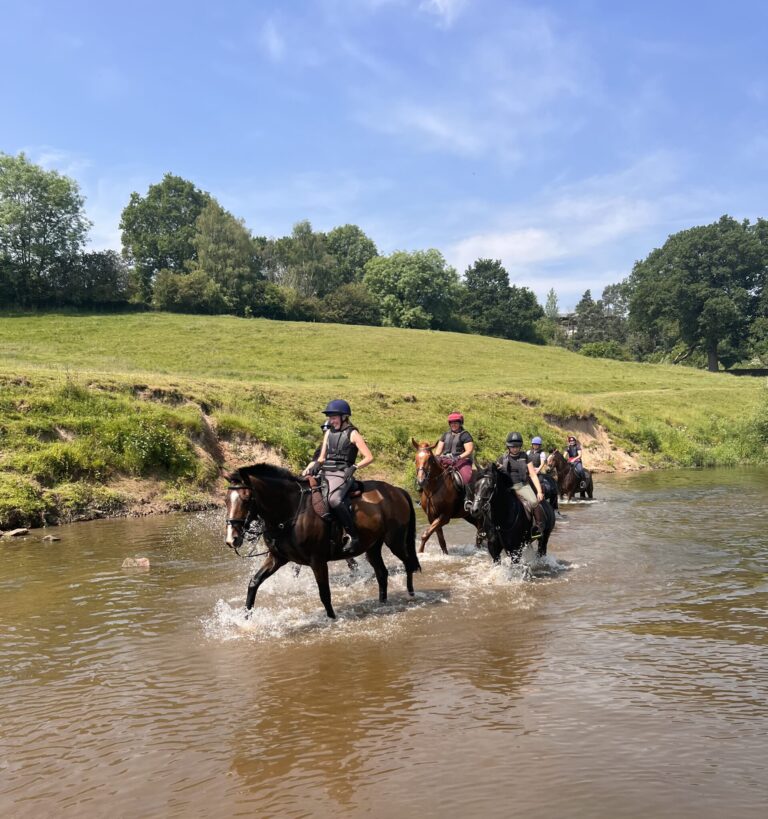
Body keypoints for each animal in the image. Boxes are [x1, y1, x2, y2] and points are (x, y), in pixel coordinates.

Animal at [224, 464, 421, 619]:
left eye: (246, 499)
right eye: (226, 500)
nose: (231, 539)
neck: (292, 510)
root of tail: (396, 490)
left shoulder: (317, 561)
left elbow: (324, 593)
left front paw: (332, 619)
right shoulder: (277, 558)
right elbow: (254, 583)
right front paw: (246, 619)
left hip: (395, 541)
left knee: (408, 563)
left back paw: (411, 594)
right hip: (372, 547)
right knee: (382, 573)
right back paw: (382, 603)